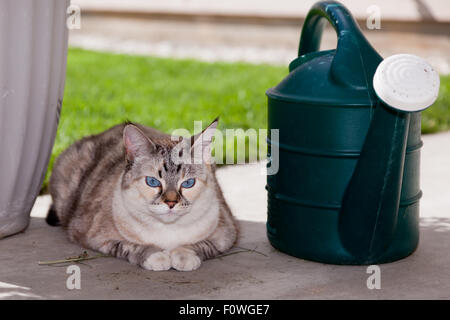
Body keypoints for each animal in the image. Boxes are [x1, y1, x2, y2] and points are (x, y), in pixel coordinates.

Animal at [46, 119, 239, 272]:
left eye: (188, 183)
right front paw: (157, 257)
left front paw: (183, 257)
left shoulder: (227, 234)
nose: (171, 203)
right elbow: (130, 247)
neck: (168, 232)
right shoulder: (93, 237)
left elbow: (200, 246)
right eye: (152, 182)